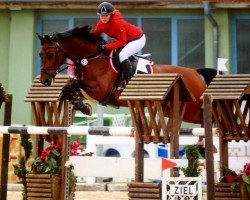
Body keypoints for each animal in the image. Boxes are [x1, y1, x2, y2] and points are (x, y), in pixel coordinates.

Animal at [36, 25, 217, 124]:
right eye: (40, 54)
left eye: (50, 54)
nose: (45, 81)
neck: (91, 58)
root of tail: (195, 73)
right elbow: (69, 88)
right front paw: (82, 106)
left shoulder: (100, 90)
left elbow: (74, 85)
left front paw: (82, 106)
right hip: (173, 110)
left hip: (190, 110)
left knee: (208, 119)